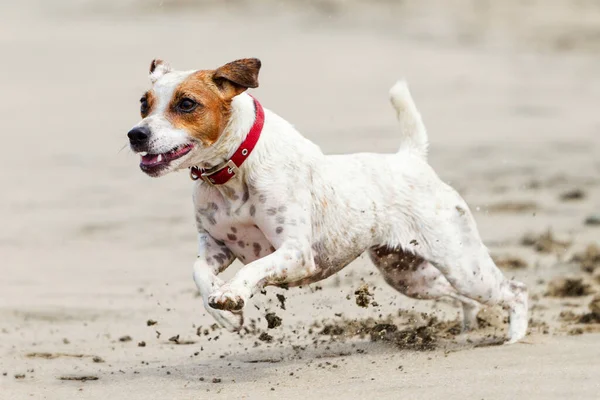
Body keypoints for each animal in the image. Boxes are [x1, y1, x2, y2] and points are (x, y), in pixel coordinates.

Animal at [126, 58, 524, 344]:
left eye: (186, 103)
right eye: (144, 104)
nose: (135, 134)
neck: (232, 172)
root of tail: (411, 159)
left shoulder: (295, 252)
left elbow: (253, 269)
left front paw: (233, 294)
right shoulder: (216, 247)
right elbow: (199, 273)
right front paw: (226, 313)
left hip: (463, 266)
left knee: (514, 291)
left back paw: (514, 337)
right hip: (409, 274)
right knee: (463, 298)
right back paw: (468, 329)